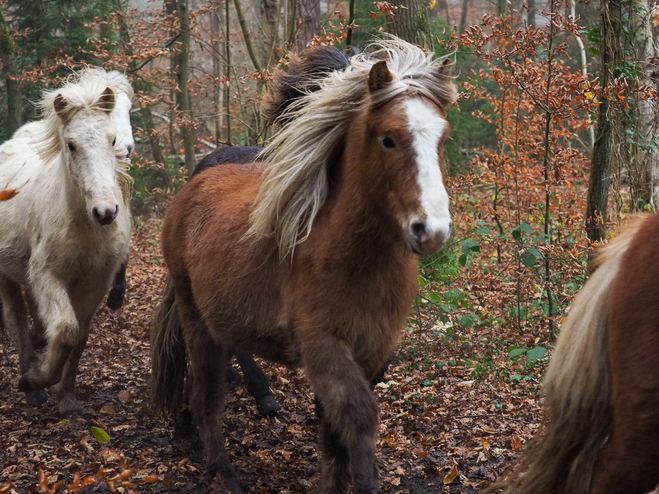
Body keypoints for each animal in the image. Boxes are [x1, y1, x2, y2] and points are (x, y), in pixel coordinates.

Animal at [0, 68, 133, 416]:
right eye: (71, 145)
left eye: (111, 140)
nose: (105, 211)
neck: (86, 229)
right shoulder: (48, 277)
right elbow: (66, 329)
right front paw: (37, 380)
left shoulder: (95, 285)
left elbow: (79, 338)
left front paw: (67, 397)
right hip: (6, 276)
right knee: (17, 323)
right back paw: (31, 385)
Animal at [150, 38, 458, 494]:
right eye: (388, 140)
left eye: (442, 137)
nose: (431, 229)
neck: (354, 257)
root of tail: (192, 187)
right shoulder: (322, 343)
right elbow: (358, 417)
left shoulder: (375, 350)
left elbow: (333, 429)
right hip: (196, 319)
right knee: (206, 394)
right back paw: (222, 470)